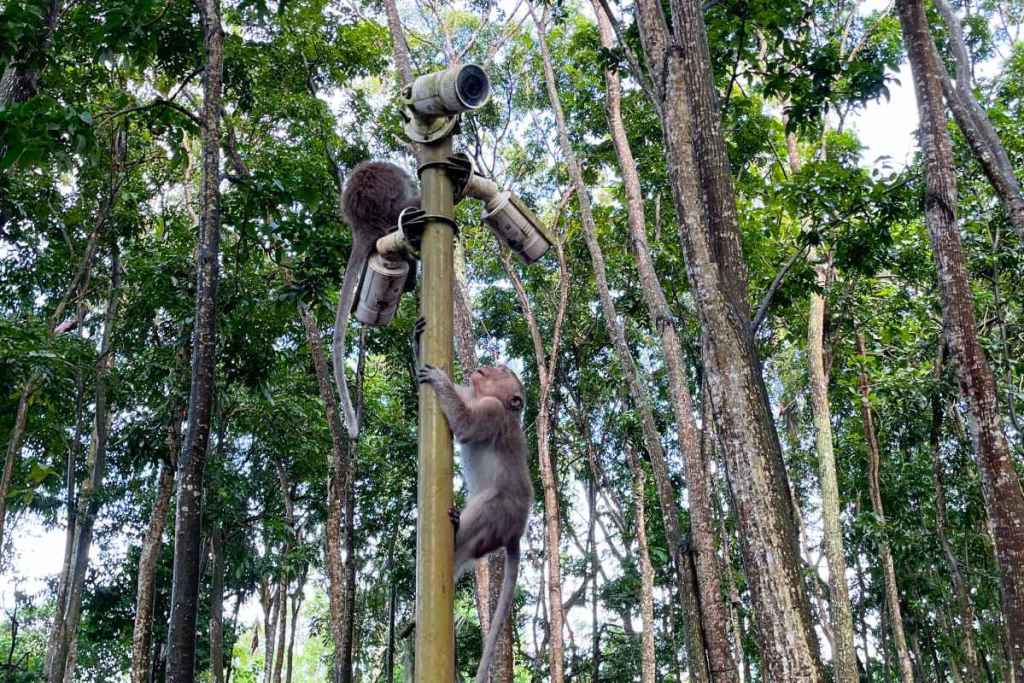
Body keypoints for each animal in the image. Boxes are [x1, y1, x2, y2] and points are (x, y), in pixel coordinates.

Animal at [416, 354, 533, 683]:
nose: (490, 364)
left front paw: (439, 380)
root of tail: (516, 533)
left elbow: (466, 425)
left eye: (504, 371)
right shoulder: (475, 395)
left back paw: (456, 528)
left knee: (485, 504)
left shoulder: (492, 409)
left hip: (500, 515)